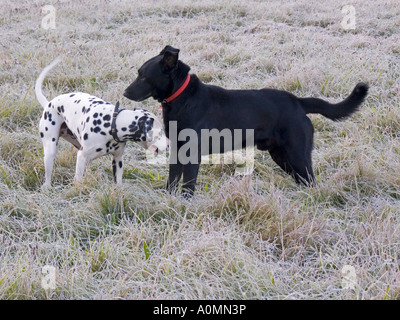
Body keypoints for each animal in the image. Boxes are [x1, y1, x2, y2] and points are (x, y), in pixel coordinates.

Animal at [35, 57, 168, 188]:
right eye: (160, 133)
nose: (168, 146)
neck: (112, 123)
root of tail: (49, 103)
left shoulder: (117, 160)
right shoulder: (81, 156)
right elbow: (78, 180)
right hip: (50, 149)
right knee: (48, 175)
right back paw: (47, 187)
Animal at [124, 44, 368, 195]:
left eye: (143, 76)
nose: (125, 93)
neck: (182, 99)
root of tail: (298, 102)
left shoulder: (193, 154)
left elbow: (188, 184)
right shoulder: (177, 150)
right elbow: (173, 179)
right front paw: (169, 199)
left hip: (296, 154)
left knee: (311, 181)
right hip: (282, 156)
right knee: (305, 181)